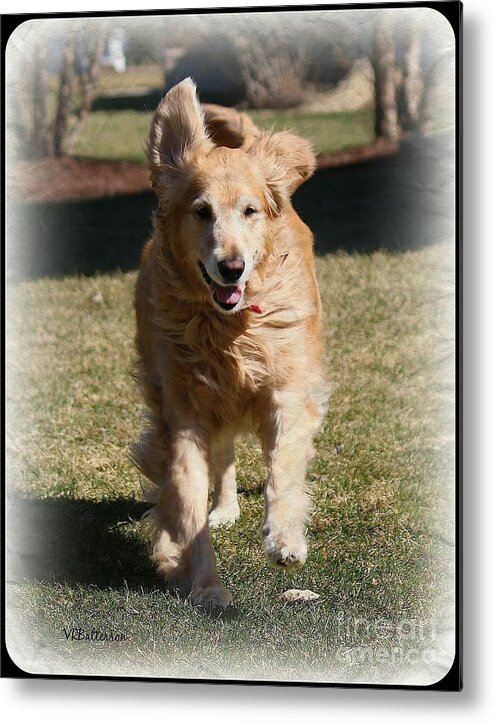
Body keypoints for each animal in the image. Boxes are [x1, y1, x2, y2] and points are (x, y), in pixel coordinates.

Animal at [132, 79, 328, 612]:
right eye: (201, 212)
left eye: (250, 211)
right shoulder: (184, 411)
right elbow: (186, 495)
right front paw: (202, 582)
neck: (226, 329)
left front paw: (285, 539)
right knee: (219, 459)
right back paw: (219, 511)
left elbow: (284, 465)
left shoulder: (285, 389)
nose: (232, 268)